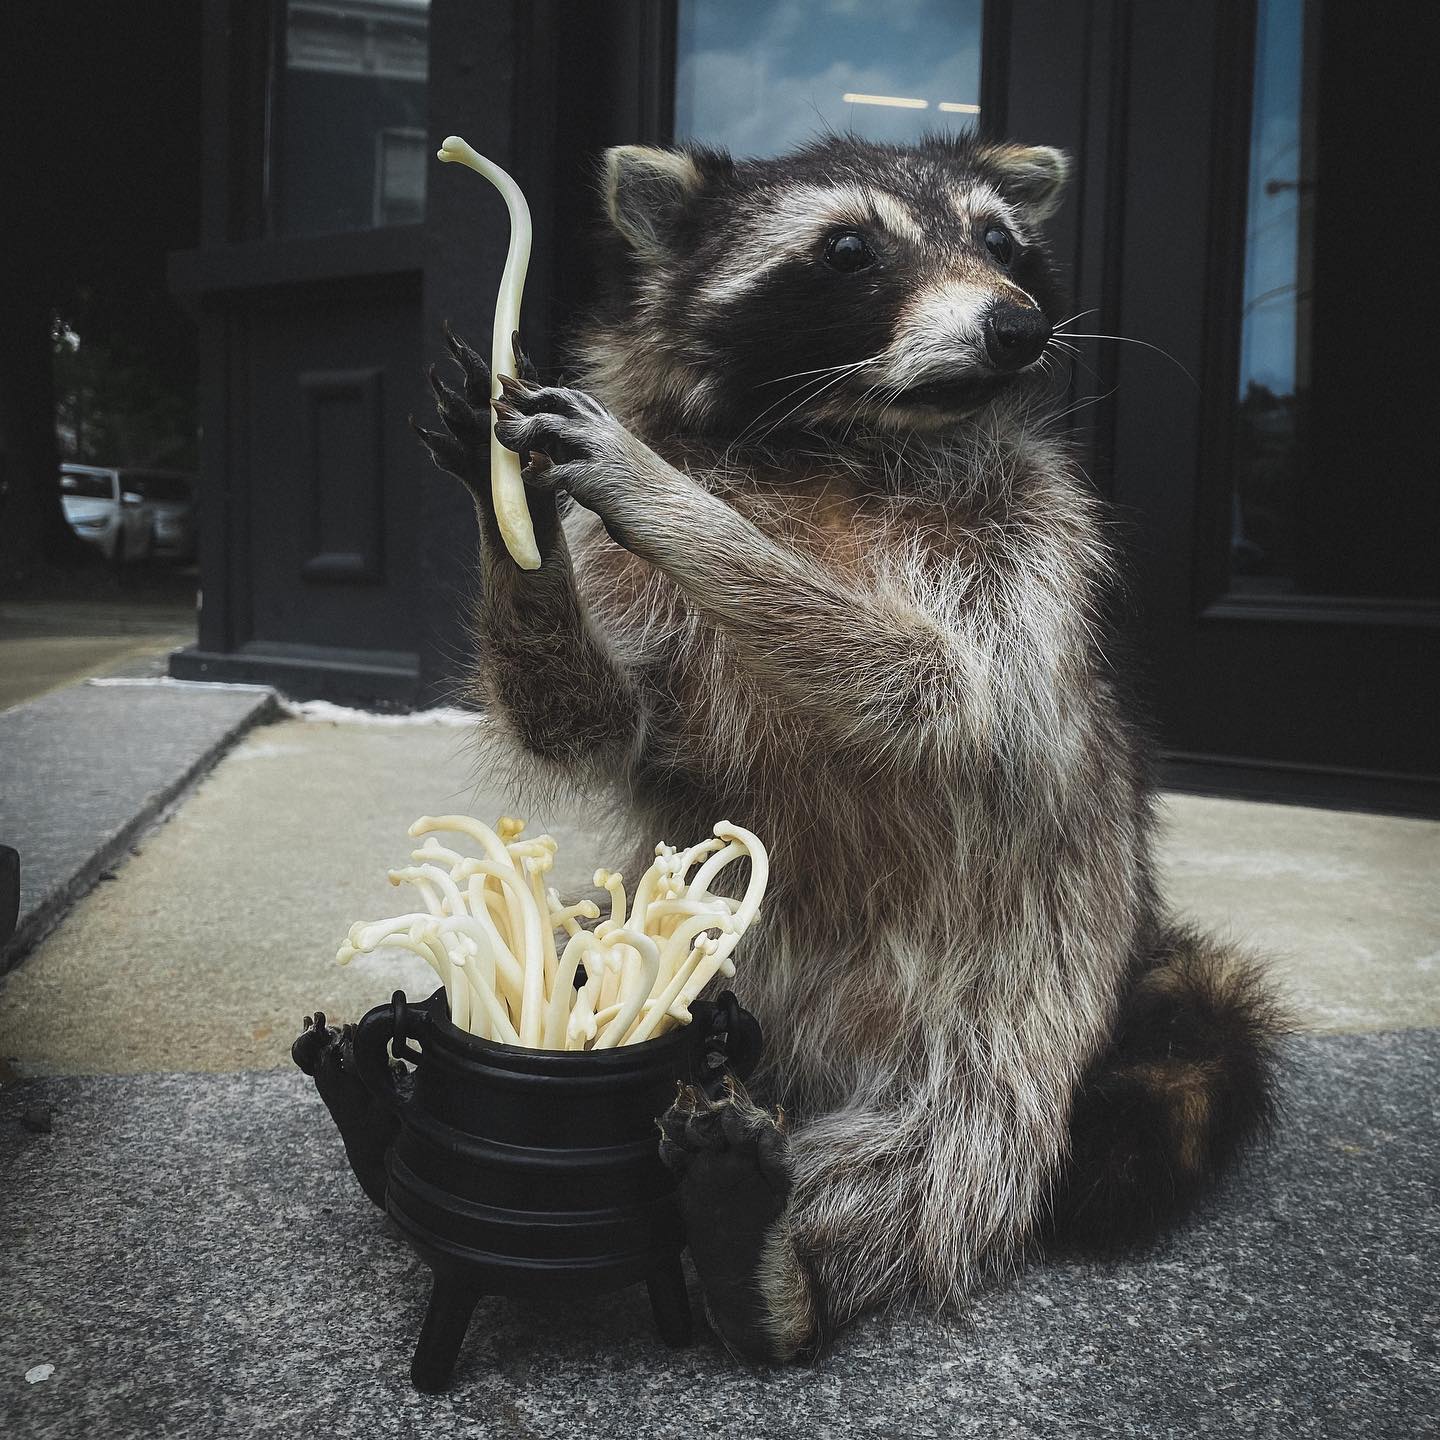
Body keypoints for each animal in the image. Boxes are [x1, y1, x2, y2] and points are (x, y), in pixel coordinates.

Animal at [414, 132, 1286, 1364]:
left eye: (1001, 241)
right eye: (847, 252)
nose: (1018, 325)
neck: (842, 432)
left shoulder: (1030, 545)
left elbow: (934, 687)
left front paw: (670, 501)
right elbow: (580, 715)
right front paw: (513, 522)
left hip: (1028, 991)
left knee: (955, 1148)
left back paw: (782, 1258)